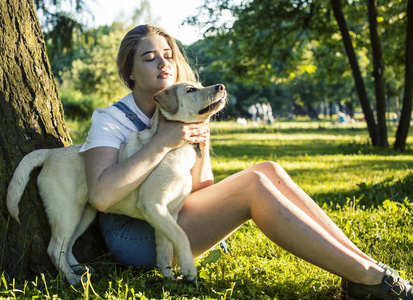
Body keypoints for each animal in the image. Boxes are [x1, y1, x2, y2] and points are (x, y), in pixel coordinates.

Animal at [6, 81, 227, 284]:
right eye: (191, 90)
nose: (221, 86)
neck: (177, 150)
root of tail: (50, 153)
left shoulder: (168, 213)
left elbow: (165, 247)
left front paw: (168, 278)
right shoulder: (153, 205)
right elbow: (181, 236)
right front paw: (189, 269)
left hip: (84, 214)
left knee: (67, 246)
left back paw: (79, 269)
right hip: (66, 212)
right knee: (54, 247)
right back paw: (72, 278)